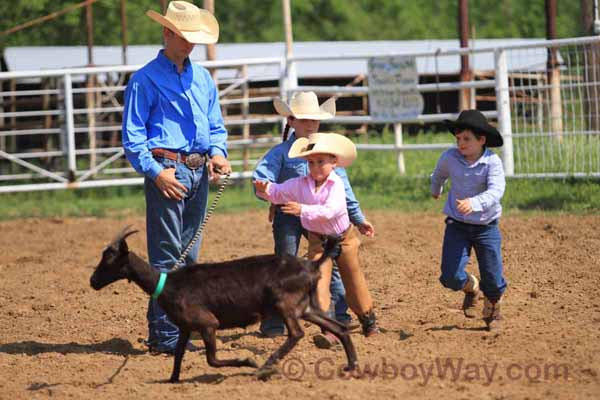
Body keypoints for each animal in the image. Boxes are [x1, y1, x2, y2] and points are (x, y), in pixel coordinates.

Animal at [89, 228, 356, 382]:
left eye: (109, 259)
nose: (92, 281)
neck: (166, 284)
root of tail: (312, 265)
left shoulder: (207, 323)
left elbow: (212, 360)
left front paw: (248, 362)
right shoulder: (186, 327)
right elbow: (178, 355)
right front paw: (172, 380)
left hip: (285, 304)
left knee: (297, 333)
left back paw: (264, 368)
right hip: (306, 307)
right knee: (339, 328)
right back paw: (351, 366)